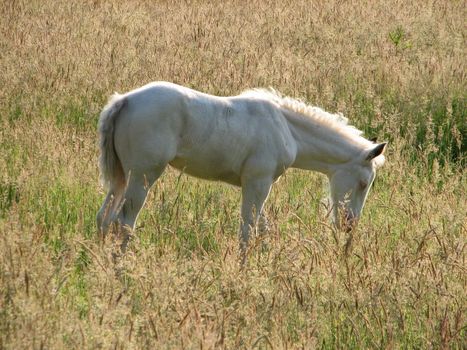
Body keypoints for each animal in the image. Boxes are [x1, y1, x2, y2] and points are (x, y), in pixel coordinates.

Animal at [96, 82, 388, 258]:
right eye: (364, 183)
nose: (349, 225)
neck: (285, 127)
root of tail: (124, 101)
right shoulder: (257, 183)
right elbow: (247, 231)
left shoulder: (259, 185)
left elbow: (262, 229)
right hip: (143, 176)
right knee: (124, 222)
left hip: (122, 177)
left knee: (104, 218)